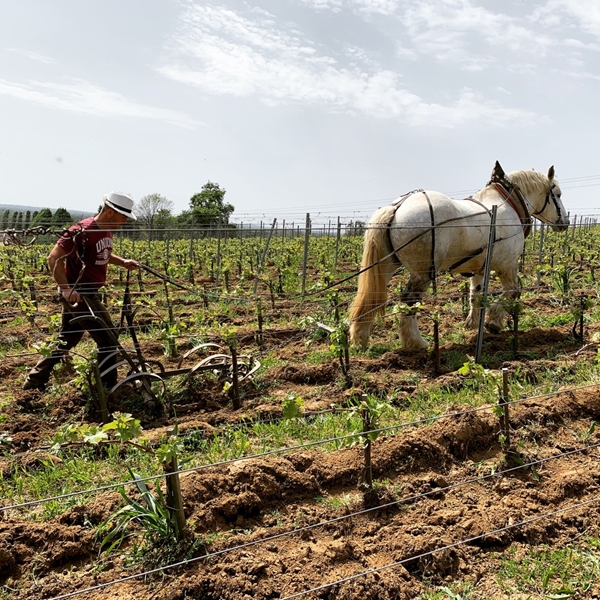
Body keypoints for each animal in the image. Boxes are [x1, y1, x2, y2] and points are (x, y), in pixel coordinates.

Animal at [346, 162, 568, 350]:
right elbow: (512, 292)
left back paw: (360, 340)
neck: (509, 204)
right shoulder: (508, 265)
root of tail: (397, 206)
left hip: (385, 266)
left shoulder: (479, 269)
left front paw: (472, 325)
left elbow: (476, 295)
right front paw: (494, 323)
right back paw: (416, 343)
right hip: (422, 272)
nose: (564, 222)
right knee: (409, 301)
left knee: (371, 299)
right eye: (557, 194)